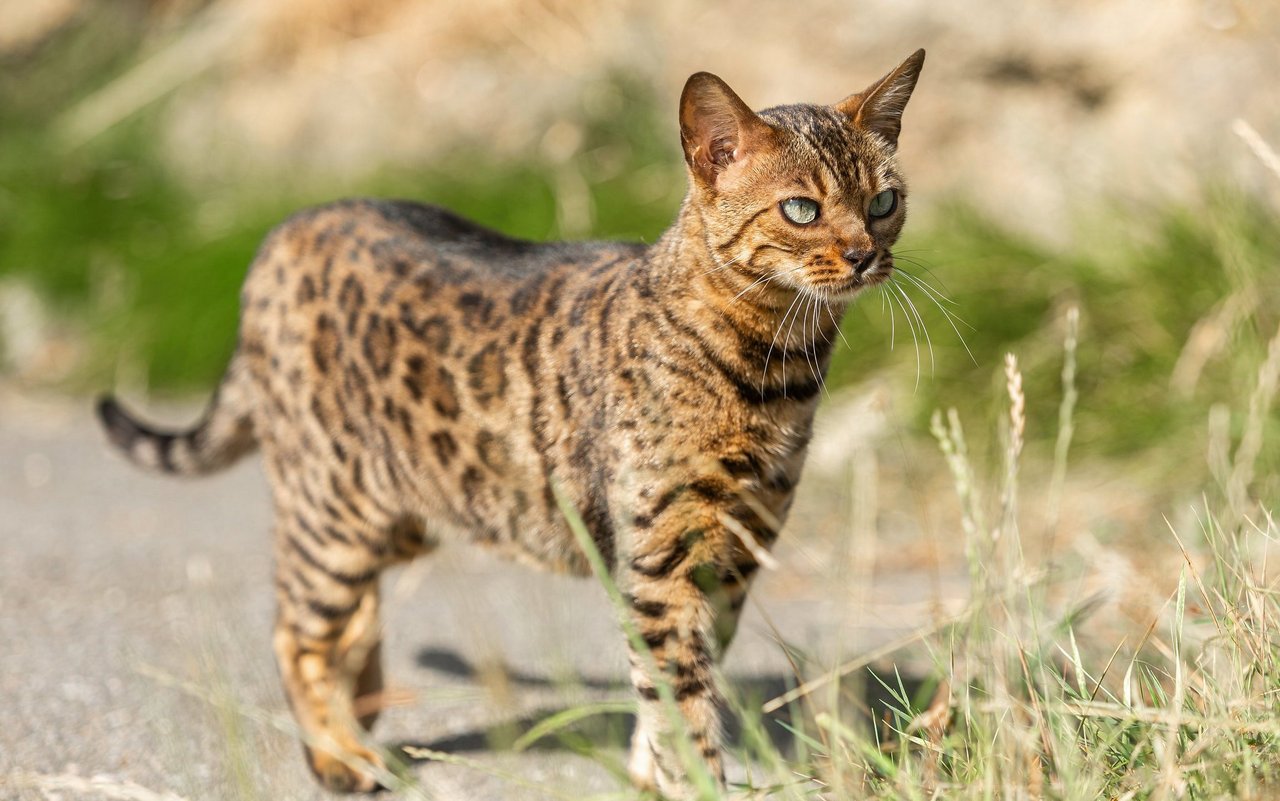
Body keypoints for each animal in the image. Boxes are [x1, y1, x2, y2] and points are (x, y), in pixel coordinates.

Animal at [97, 48, 921, 793]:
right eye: (802, 209)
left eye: (883, 203)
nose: (863, 254)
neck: (772, 371)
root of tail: (287, 227)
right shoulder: (664, 555)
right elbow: (681, 698)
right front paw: (689, 777)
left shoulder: (739, 548)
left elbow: (686, 684)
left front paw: (651, 770)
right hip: (333, 506)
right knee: (296, 628)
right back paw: (337, 754)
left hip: (406, 508)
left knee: (352, 616)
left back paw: (363, 708)